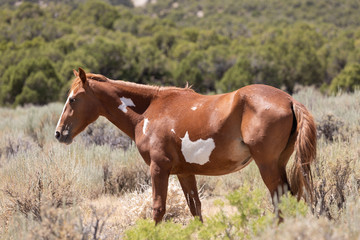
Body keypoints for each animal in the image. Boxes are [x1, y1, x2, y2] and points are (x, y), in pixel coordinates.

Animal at [54, 67, 316, 223]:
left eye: (73, 99)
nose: (59, 133)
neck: (149, 111)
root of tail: (289, 99)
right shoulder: (185, 173)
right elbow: (195, 209)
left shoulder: (158, 168)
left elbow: (158, 209)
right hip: (278, 164)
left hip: (267, 166)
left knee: (281, 200)